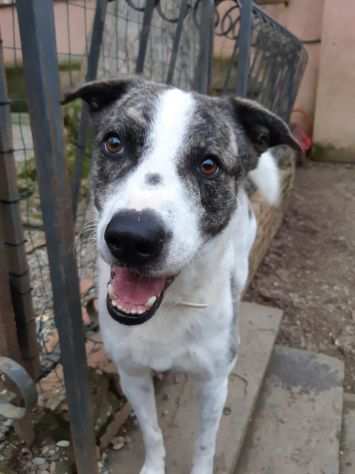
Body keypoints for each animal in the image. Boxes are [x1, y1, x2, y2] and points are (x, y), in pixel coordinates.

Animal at [63, 79, 300, 474]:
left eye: (209, 165)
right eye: (114, 143)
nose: (132, 238)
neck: (170, 305)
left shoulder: (214, 384)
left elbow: (205, 444)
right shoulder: (131, 374)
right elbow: (152, 432)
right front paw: (154, 467)